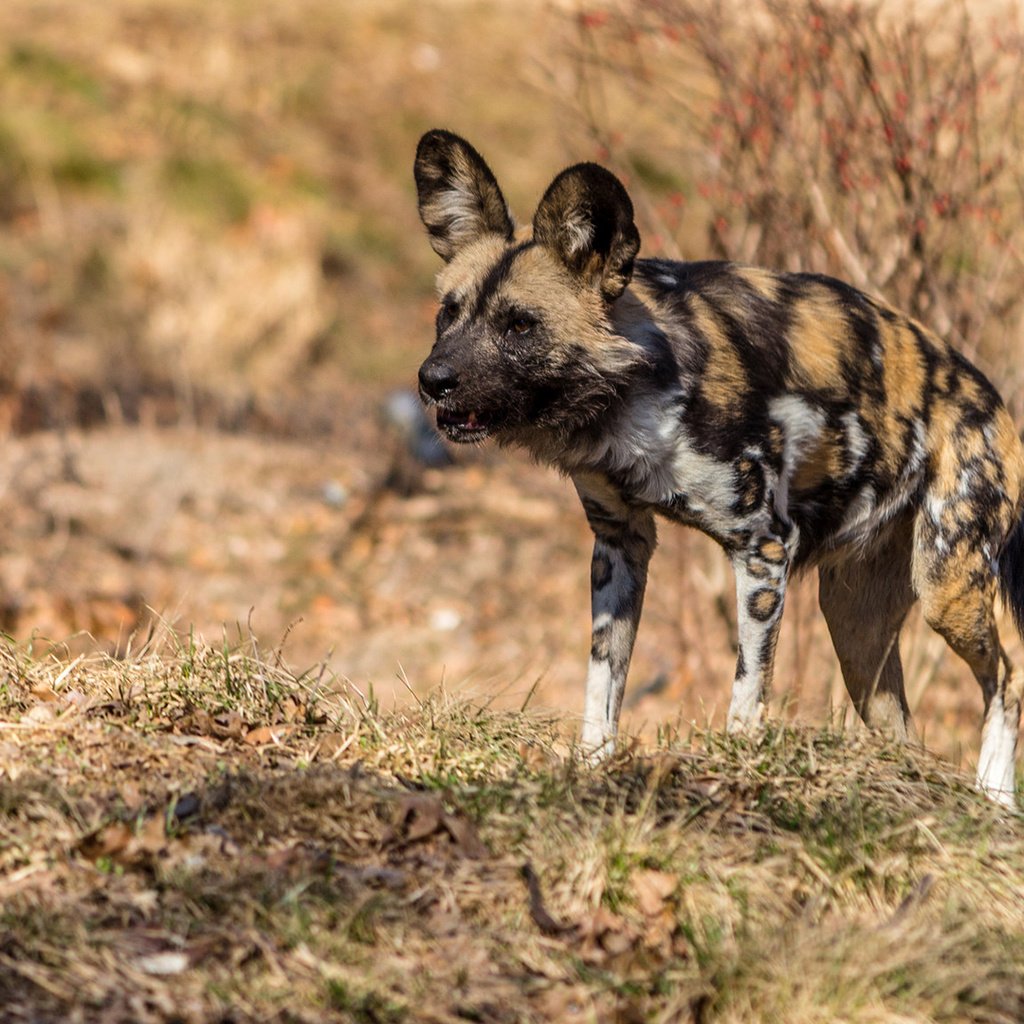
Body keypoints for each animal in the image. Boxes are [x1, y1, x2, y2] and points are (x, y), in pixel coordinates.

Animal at [413, 128, 1024, 802]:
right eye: (449, 312)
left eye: (519, 325)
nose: (431, 380)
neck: (635, 387)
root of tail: (991, 397)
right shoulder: (620, 544)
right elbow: (603, 685)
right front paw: (593, 773)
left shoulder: (764, 549)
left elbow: (746, 694)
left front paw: (741, 773)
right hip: (855, 628)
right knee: (905, 730)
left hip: (948, 589)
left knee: (1009, 680)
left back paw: (995, 795)